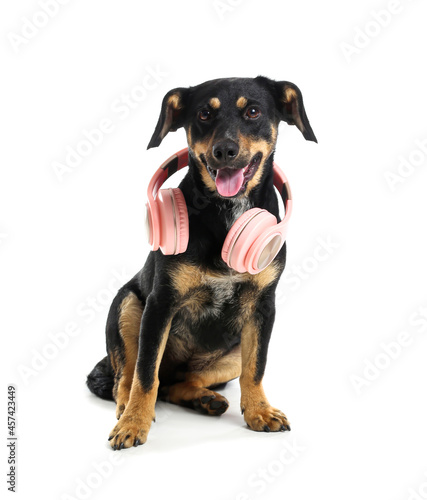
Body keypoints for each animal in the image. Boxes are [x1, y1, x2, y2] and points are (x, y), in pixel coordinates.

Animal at [86, 77, 318, 450]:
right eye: (204, 115)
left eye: (253, 111)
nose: (224, 150)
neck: (228, 212)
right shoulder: (160, 304)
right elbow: (145, 374)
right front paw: (133, 424)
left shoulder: (263, 308)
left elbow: (256, 368)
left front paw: (259, 411)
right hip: (127, 307)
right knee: (128, 374)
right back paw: (126, 406)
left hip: (231, 352)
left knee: (178, 383)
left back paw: (203, 399)